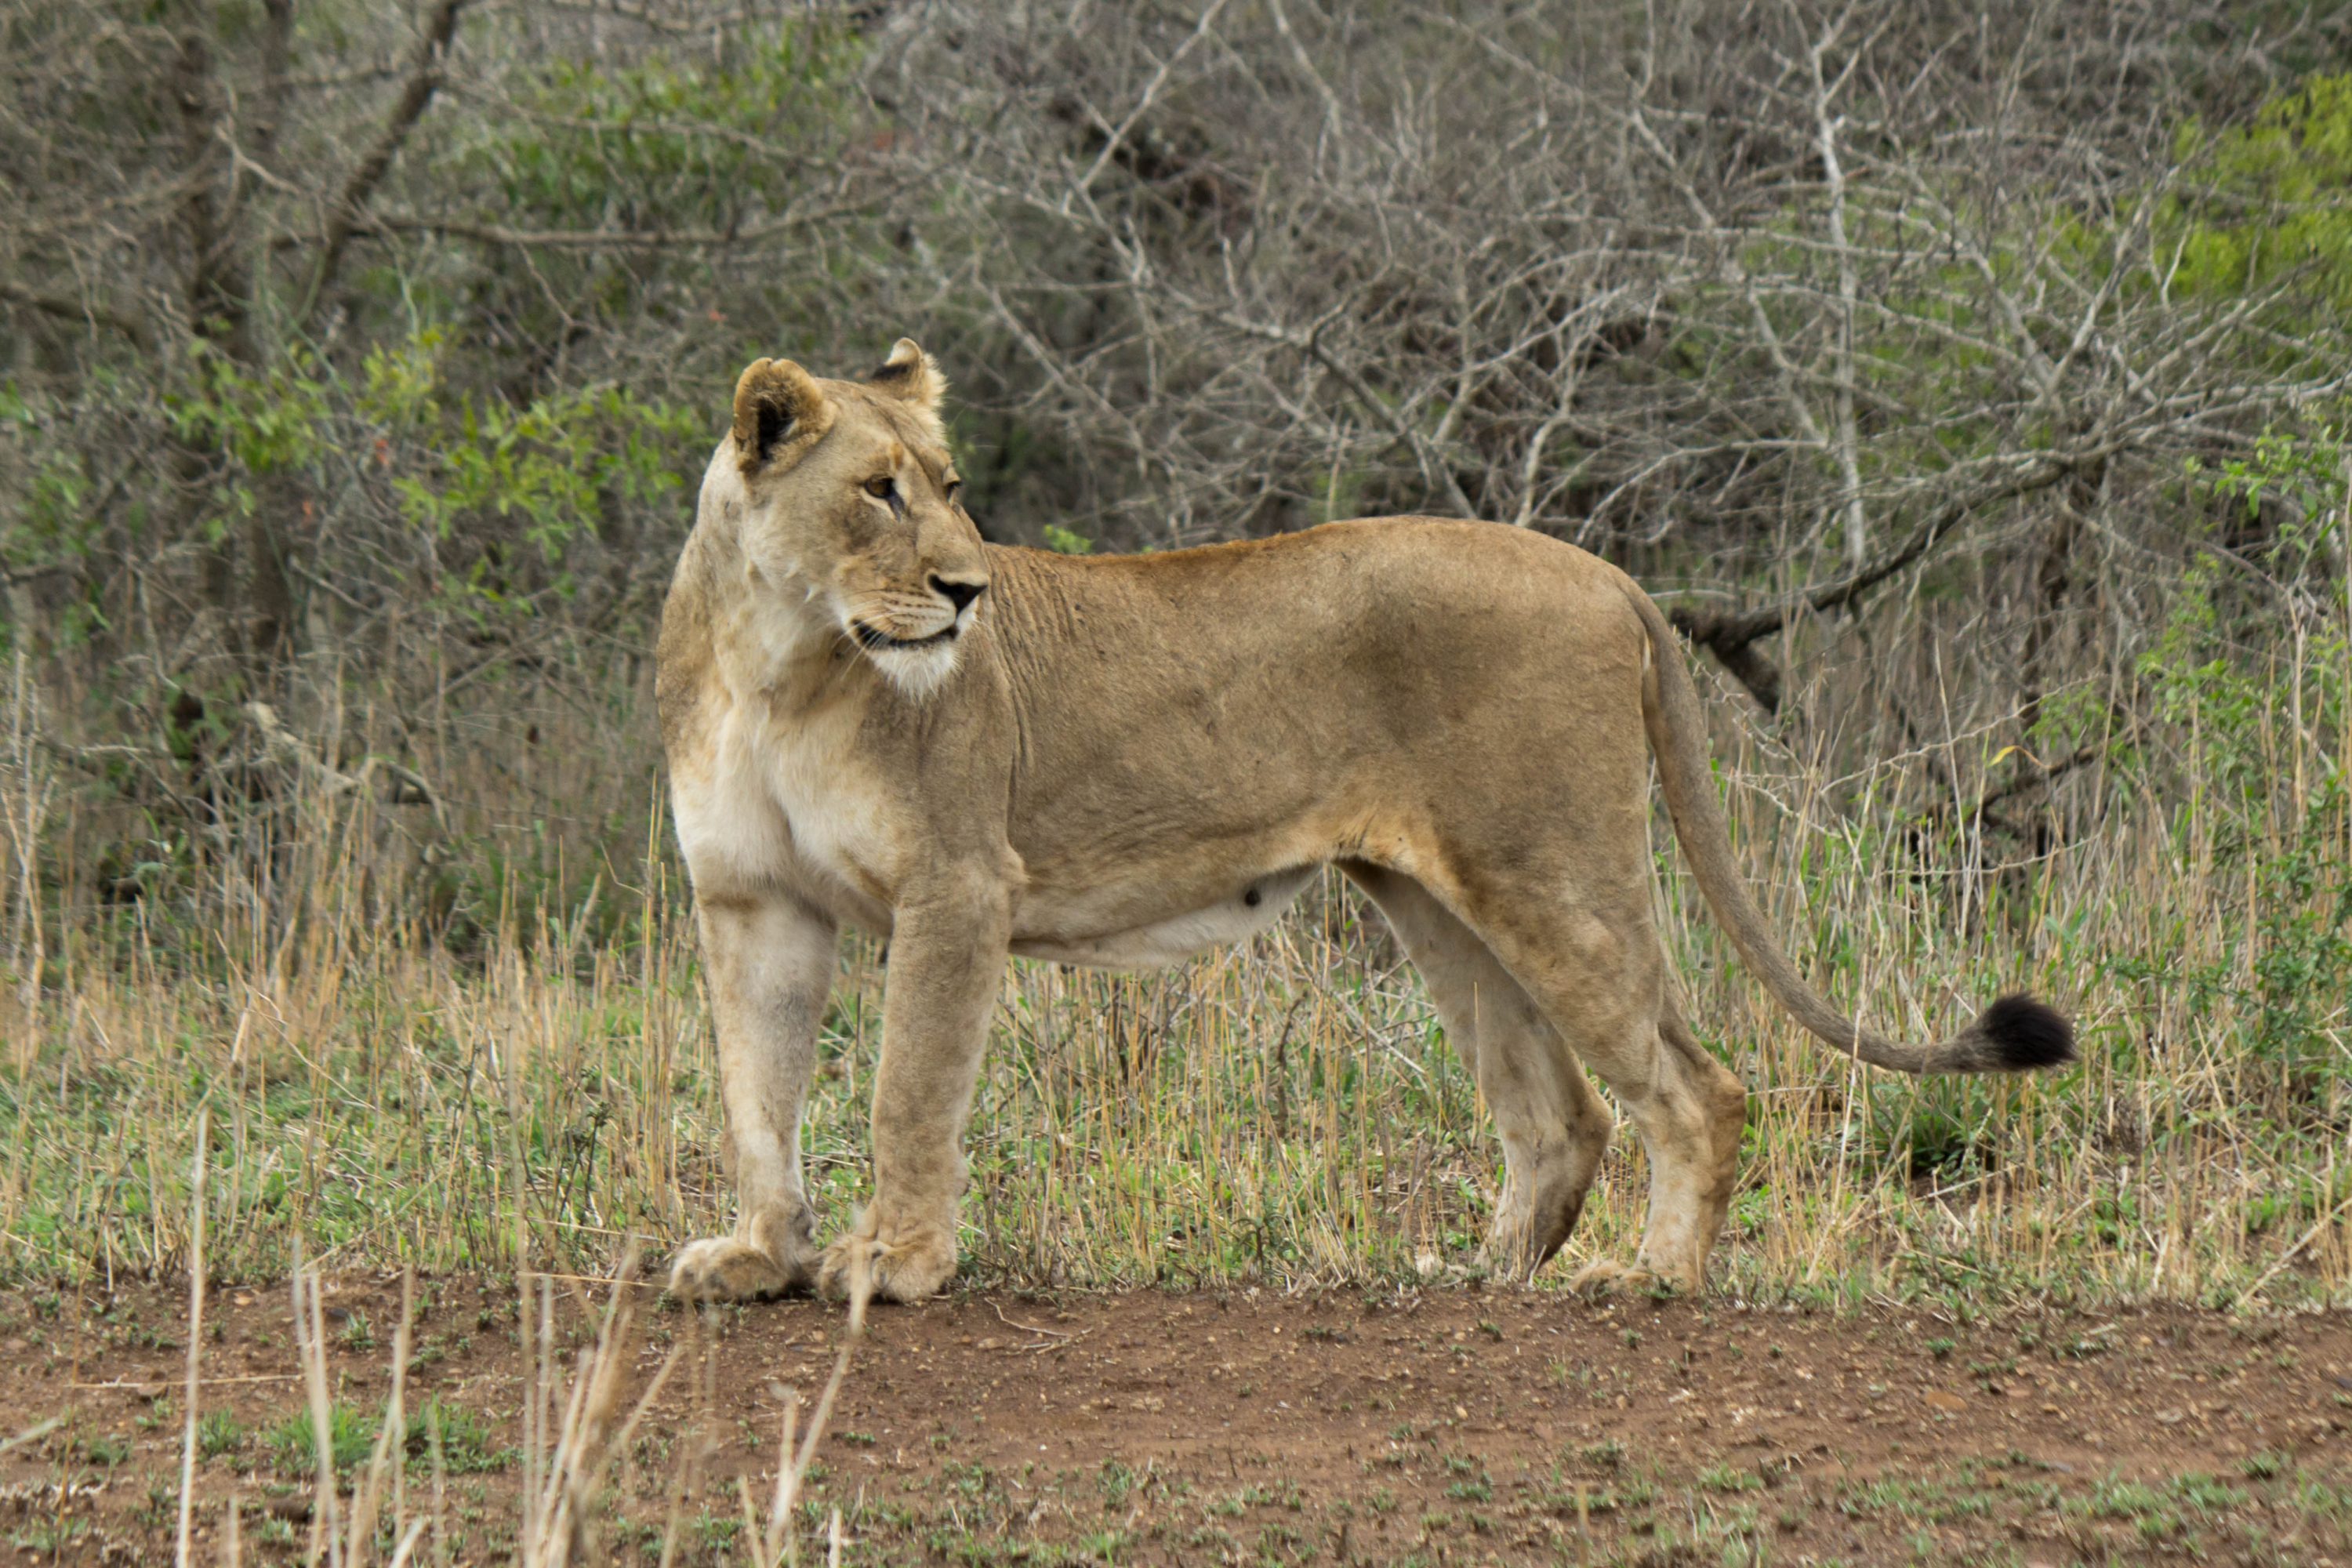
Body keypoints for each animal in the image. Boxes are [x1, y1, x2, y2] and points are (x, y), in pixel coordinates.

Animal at [656, 341, 2075, 1306]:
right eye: (878, 491)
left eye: (949, 486)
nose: (968, 590)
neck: (783, 659)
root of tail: (1606, 573)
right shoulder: (751, 901)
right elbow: (755, 1092)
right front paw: (756, 1255)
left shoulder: (956, 885)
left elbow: (907, 1089)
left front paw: (889, 1265)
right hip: (1446, 905)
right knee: (1564, 1111)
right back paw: (1475, 1272)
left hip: (1555, 874)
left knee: (1697, 1086)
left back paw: (1651, 1277)